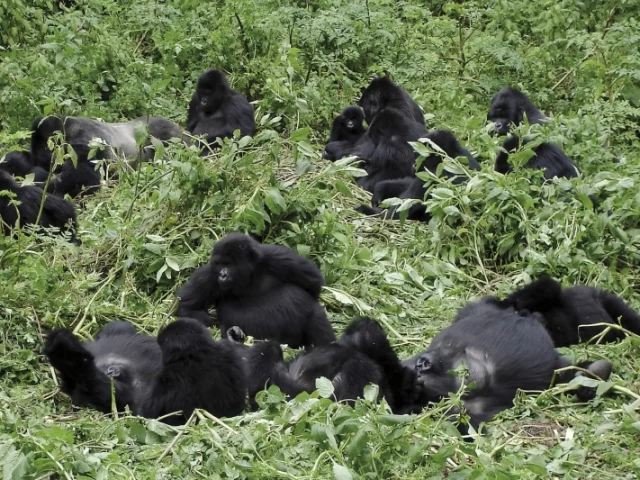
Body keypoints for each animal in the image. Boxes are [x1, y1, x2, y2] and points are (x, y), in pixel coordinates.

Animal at [175, 232, 336, 348]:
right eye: (220, 264)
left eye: (229, 264)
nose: (222, 275)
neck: (250, 274)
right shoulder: (209, 275)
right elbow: (185, 308)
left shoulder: (277, 256)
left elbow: (313, 282)